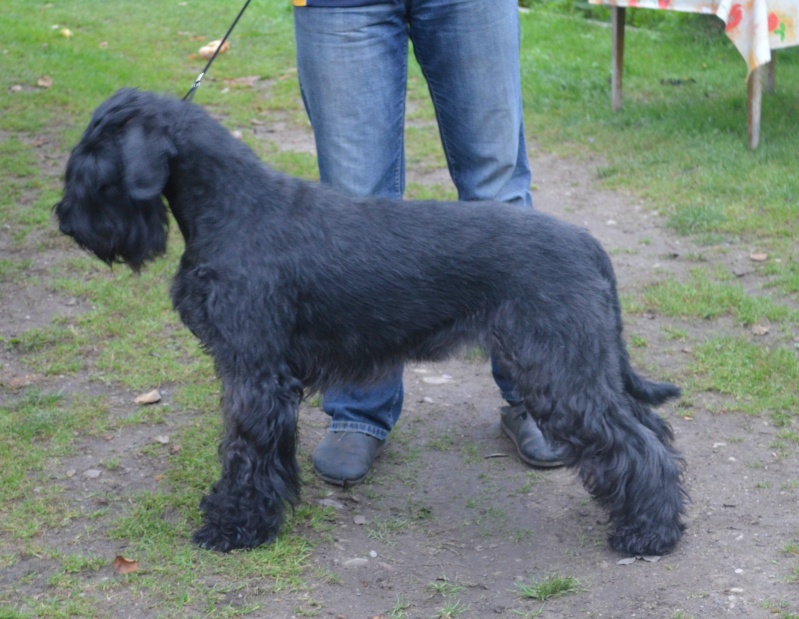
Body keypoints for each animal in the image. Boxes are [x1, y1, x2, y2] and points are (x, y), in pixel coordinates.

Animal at [54, 88, 688, 556]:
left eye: (93, 154)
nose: (65, 221)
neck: (233, 206)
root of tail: (587, 242)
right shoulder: (264, 376)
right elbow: (264, 451)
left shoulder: (254, 373)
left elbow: (245, 451)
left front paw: (235, 526)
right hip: (584, 364)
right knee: (652, 429)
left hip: (561, 370)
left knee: (634, 444)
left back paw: (648, 534)